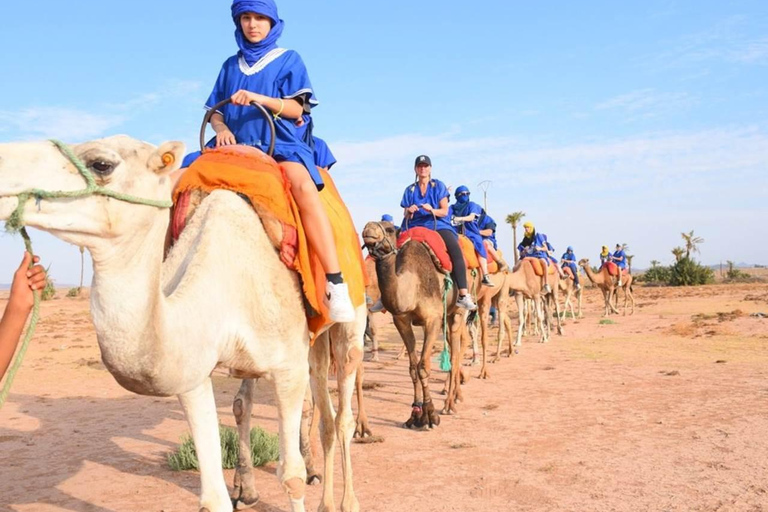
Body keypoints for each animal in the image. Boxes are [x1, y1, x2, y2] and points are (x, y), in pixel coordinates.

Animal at [0, 136, 366, 512]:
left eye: (101, 164)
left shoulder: (288, 368)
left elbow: (291, 476)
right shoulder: (193, 370)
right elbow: (213, 495)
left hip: (352, 318)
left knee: (341, 411)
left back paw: (345, 501)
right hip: (307, 346)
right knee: (308, 406)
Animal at [362, 221, 474, 424]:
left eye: (389, 229)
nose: (368, 229)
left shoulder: (432, 319)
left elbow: (423, 366)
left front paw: (429, 414)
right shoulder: (401, 321)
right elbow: (413, 368)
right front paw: (415, 413)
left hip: (457, 312)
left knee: (456, 351)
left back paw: (449, 404)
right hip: (447, 316)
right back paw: (456, 395)